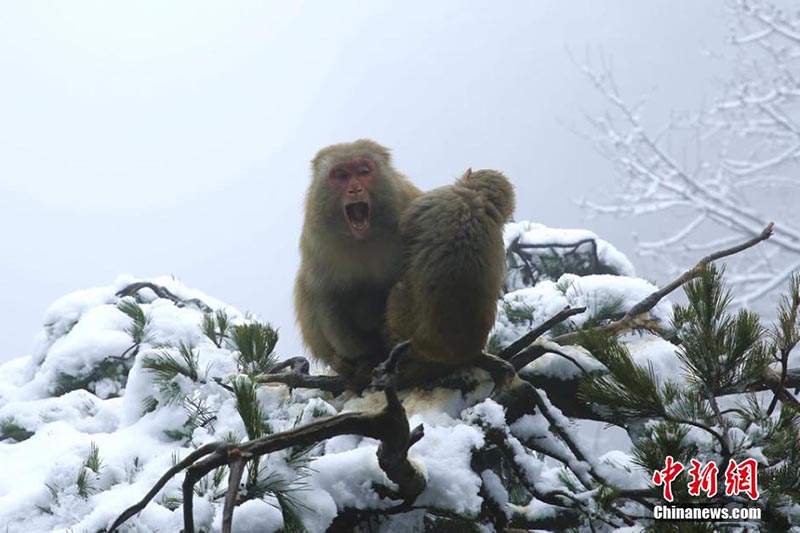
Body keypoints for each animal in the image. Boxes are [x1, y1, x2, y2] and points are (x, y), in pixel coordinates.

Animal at [296, 138, 422, 386]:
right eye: (341, 175)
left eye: (364, 171)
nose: (355, 189)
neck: (363, 239)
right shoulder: (316, 243)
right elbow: (324, 294)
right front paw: (359, 356)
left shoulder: (409, 207)